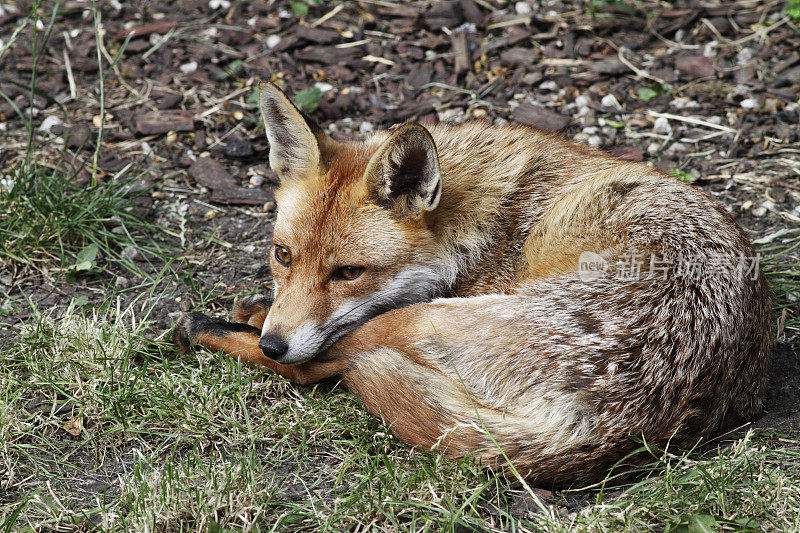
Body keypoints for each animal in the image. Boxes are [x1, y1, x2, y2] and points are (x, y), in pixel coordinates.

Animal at [170, 81, 776, 484]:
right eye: (282, 255)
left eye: (348, 273)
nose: (276, 341)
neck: (483, 222)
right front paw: (256, 310)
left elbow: (316, 354)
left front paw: (240, 325)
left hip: (421, 320)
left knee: (322, 368)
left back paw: (207, 330)